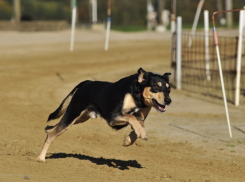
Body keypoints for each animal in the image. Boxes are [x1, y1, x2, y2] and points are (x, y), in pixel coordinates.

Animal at [37, 67, 171, 161]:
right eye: (155, 87)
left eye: (169, 89)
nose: (169, 100)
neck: (138, 95)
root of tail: (88, 82)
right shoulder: (113, 117)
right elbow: (131, 117)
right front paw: (141, 134)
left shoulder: (141, 117)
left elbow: (138, 124)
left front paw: (129, 140)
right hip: (73, 114)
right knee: (52, 135)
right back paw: (41, 158)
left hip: (79, 118)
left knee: (52, 128)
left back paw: (47, 130)